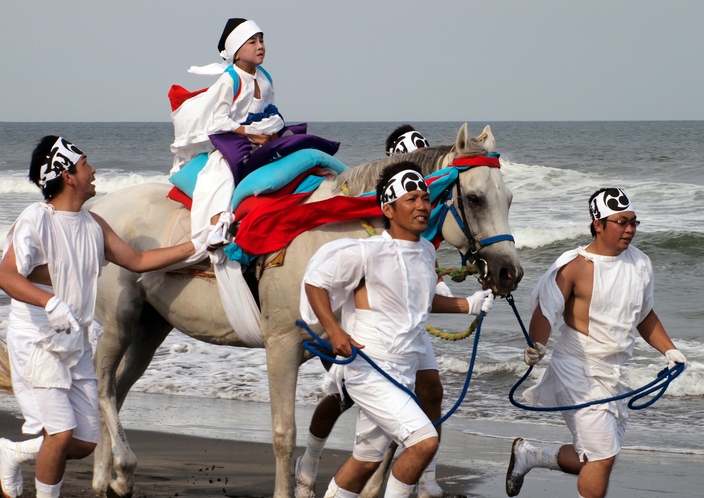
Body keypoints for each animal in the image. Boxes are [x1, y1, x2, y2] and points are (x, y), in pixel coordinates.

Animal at [85, 122, 524, 496]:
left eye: (509, 199)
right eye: (474, 199)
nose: (509, 272)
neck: (333, 240)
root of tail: (102, 208)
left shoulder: (341, 348)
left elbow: (374, 419)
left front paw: (347, 485)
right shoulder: (282, 345)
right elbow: (285, 433)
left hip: (151, 326)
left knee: (120, 387)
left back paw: (106, 476)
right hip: (119, 322)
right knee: (104, 386)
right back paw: (122, 468)